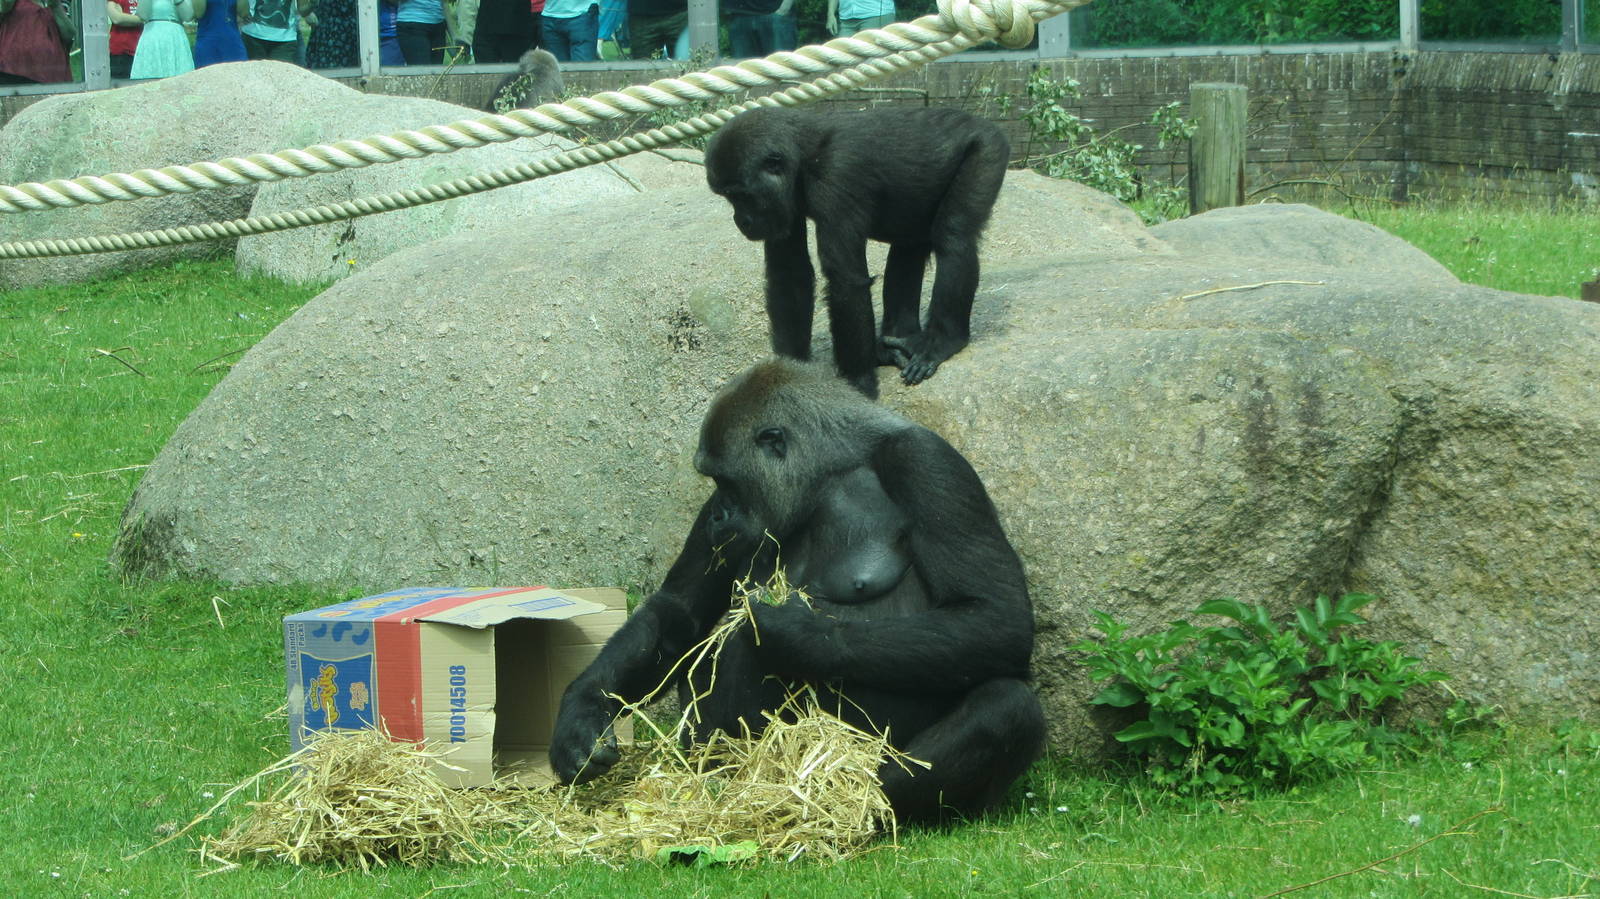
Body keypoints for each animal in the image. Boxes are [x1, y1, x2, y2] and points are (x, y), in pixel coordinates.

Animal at [704, 106, 1010, 398]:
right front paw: (791, 370)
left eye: (741, 196)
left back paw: (944, 340)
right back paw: (893, 341)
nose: (741, 221)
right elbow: (789, 274)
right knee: (908, 248)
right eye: (729, 197)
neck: (805, 155)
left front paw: (859, 383)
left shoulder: (836, 177)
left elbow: (845, 283)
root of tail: (983, 122)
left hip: (987, 148)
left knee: (954, 237)